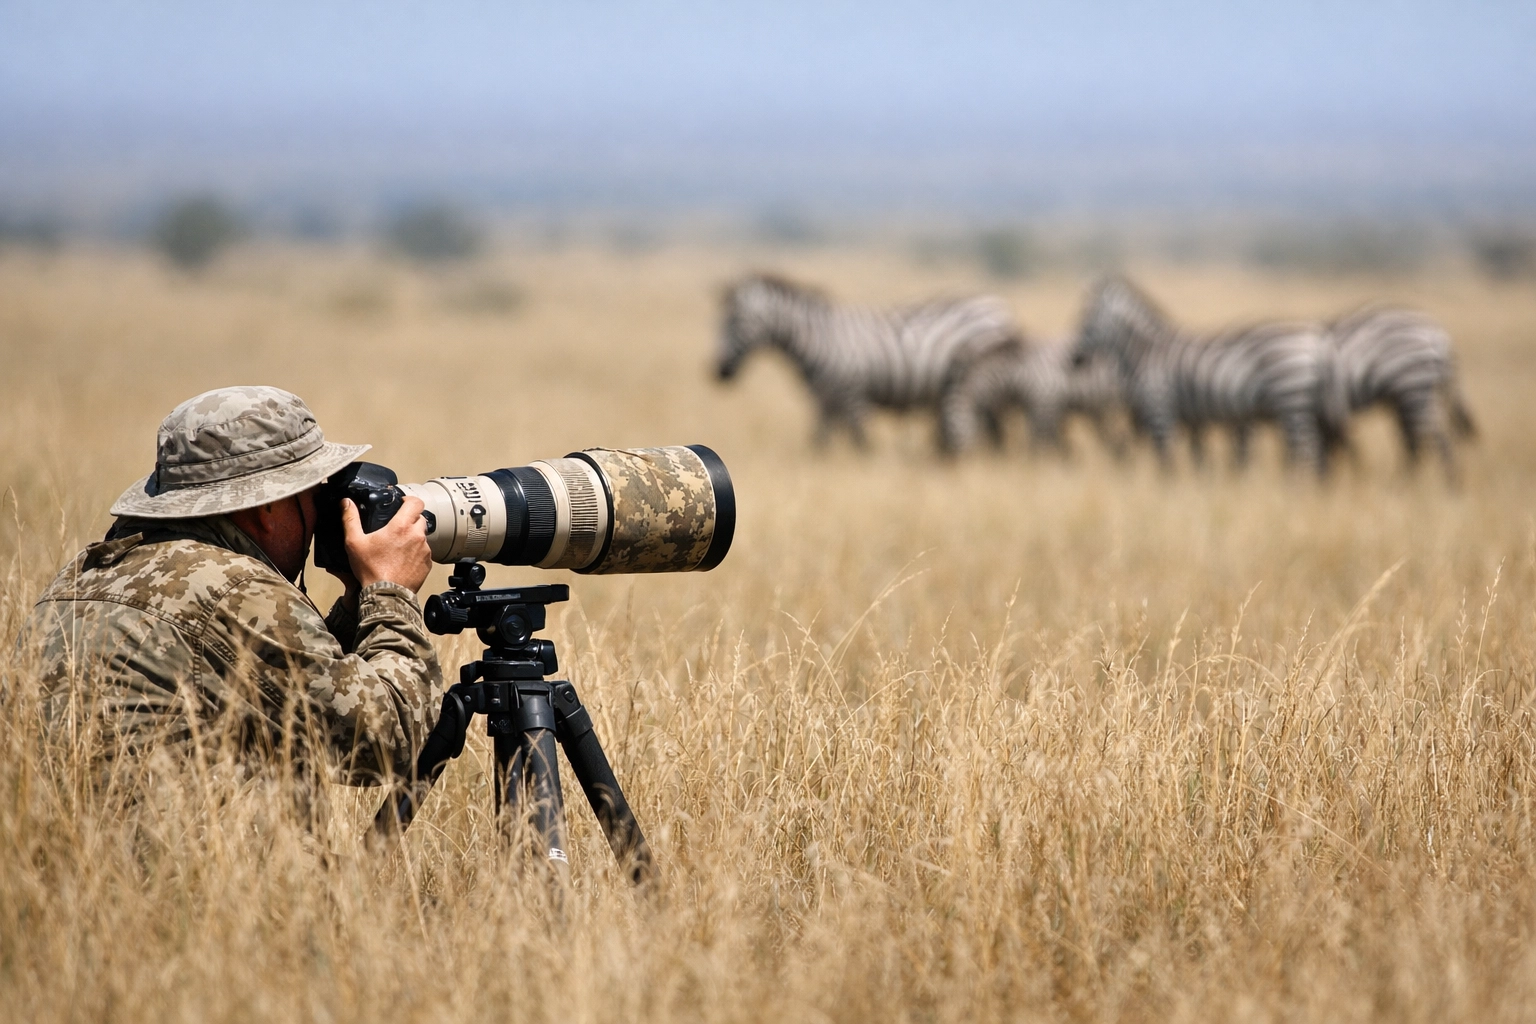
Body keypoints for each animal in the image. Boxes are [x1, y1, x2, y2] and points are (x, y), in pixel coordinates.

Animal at [715, 273, 1022, 449]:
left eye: (735, 322)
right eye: (718, 322)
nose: (718, 373)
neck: (818, 338)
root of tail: (996, 304)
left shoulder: (852, 394)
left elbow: (861, 443)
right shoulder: (825, 400)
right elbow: (819, 444)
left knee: (994, 430)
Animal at [939, 337, 1128, 457]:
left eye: (950, 426)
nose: (956, 459)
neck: (1019, 375)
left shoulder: (1044, 405)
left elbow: (1039, 444)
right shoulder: (1040, 409)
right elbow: (1049, 443)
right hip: (1100, 409)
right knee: (1112, 438)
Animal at [1071, 276, 1347, 476]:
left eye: (1084, 320)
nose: (1073, 360)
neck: (1145, 351)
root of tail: (1319, 340)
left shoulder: (1160, 408)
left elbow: (1166, 460)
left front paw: (1167, 493)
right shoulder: (1191, 418)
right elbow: (1198, 459)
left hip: (1290, 398)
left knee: (1308, 449)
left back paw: (1299, 488)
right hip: (1309, 404)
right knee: (1316, 449)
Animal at [1324, 305, 1476, 479]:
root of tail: (1438, 337)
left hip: (1415, 391)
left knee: (1435, 440)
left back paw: (1448, 482)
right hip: (1411, 398)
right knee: (1412, 440)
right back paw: (1406, 481)